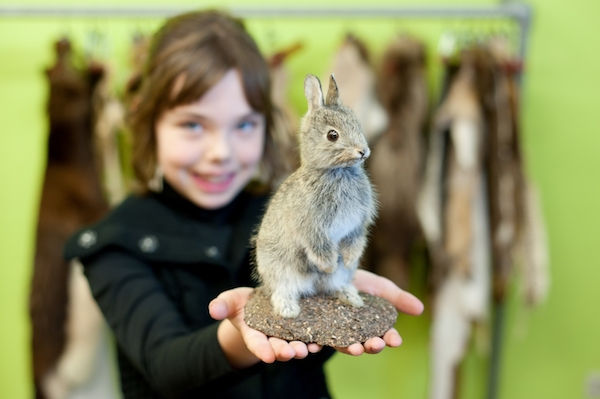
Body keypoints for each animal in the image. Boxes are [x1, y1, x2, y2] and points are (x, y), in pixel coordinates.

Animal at [253, 74, 376, 318]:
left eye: (357, 124)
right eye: (332, 135)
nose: (363, 151)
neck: (336, 171)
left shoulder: (357, 225)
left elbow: (355, 241)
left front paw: (349, 260)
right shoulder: (312, 228)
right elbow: (320, 248)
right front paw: (329, 265)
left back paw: (352, 297)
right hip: (280, 268)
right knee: (283, 290)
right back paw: (288, 310)